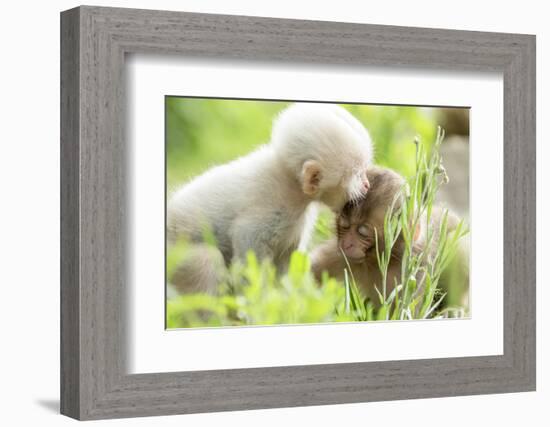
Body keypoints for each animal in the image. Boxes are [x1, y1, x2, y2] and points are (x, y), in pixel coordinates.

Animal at [168, 103, 376, 294]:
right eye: (358, 175)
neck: (291, 184)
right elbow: (249, 255)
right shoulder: (266, 214)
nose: (367, 185)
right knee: (204, 260)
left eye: (364, 171)